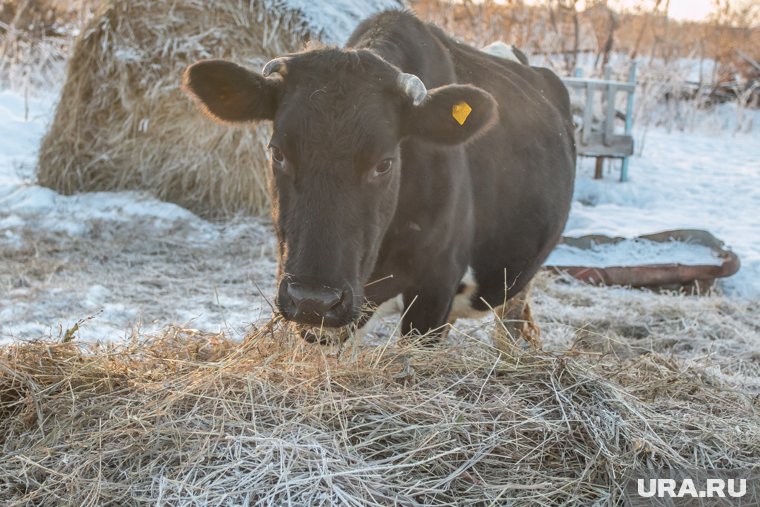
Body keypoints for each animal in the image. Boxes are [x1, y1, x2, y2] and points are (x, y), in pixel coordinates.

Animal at [184, 9, 576, 350]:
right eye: (277, 152)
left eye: (385, 163)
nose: (314, 299)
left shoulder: (434, 289)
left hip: (519, 278)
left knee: (509, 323)